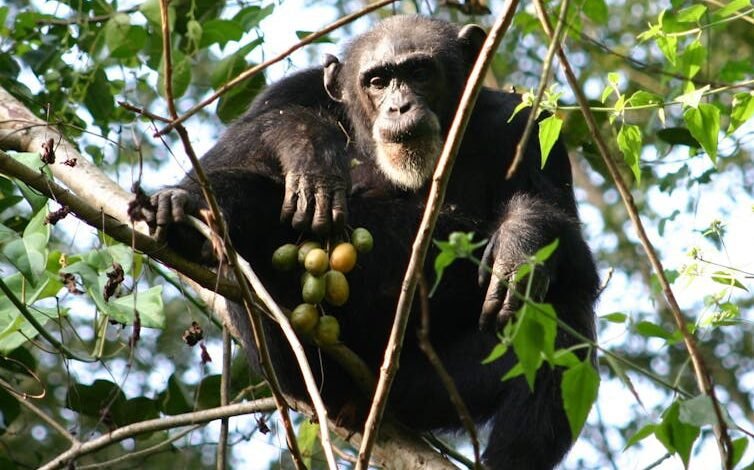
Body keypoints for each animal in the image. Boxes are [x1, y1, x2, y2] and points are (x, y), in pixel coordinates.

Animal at [144, 14, 596, 470]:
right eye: (378, 81)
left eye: (419, 73)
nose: (399, 106)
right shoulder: (288, 91)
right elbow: (217, 161)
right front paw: (309, 144)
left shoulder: (527, 128)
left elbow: (569, 240)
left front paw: (519, 244)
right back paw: (182, 212)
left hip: (420, 391)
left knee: (562, 319)